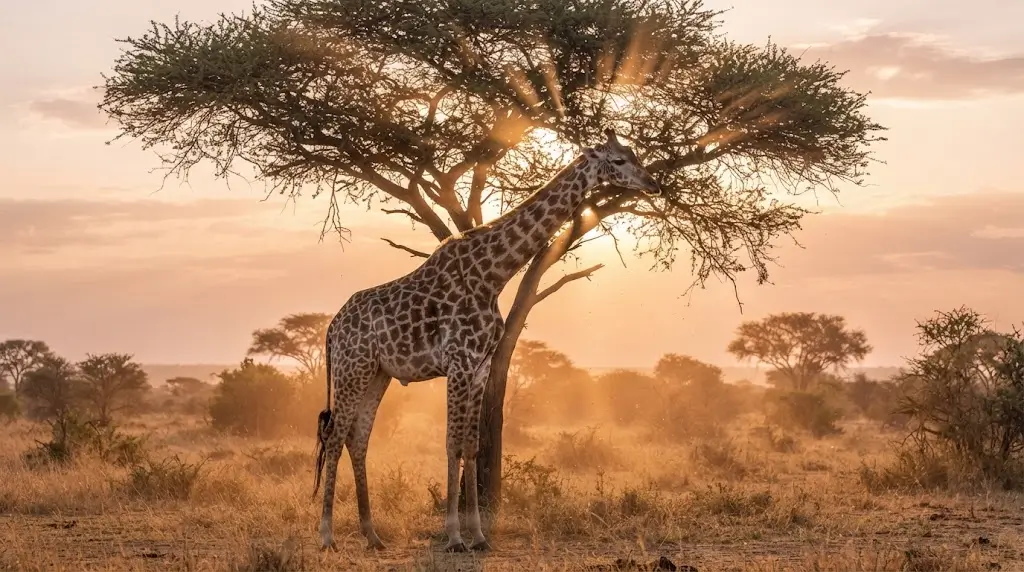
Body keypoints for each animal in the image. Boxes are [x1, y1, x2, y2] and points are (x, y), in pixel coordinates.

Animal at [312, 128, 662, 553]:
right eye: (618, 161)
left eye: (634, 153)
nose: (654, 183)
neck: (492, 275)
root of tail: (332, 327)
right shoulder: (459, 363)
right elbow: (451, 443)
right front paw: (453, 536)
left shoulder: (479, 366)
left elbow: (472, 446)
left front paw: (478, 535)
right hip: (353, 369)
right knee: (334, 436)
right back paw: (327, 535)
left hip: (378, 373)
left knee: (357, 438)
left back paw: (372, 535)